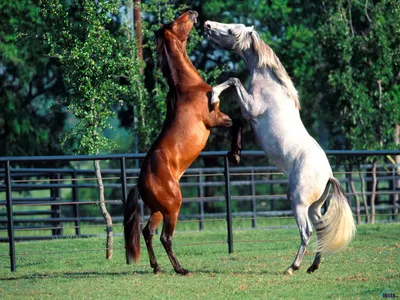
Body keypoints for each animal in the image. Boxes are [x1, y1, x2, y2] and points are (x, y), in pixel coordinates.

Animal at [123, 10, 233, 276]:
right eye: (176, 22)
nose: (193, 13)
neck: (187, 87)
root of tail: (140, 183)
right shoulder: (215, 119)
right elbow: (233, 113)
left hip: (158, 210)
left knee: (147, 232)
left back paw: (157, 267)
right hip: (173, 208)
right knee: (165, 237)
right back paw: (181, 269)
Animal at [205, 20, 354, 274]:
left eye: (231, 30)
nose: (206, 25)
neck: (271, 85)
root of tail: (328, 175)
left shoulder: (251, 107)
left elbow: (234, 81)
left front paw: (213, 94)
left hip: (298, 202)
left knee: (307, 232)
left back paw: (293, 267)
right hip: (314, 207)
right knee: (321, 229)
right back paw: (313, 266)